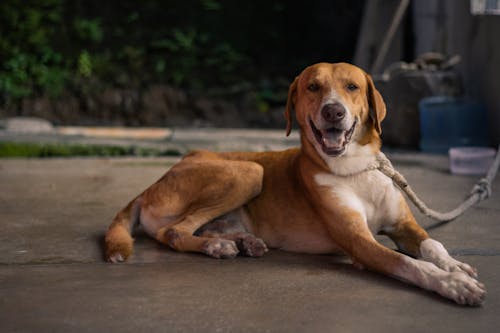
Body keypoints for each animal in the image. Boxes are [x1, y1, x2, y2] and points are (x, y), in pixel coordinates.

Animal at [104, 61, 484, 304]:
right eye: (313, 87)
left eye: (352, 87)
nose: (333, 111)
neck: (356, 169)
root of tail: (149, 187)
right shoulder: (359, 242)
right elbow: (411, 264)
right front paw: (452, 284)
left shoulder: (403, 224)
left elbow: (432, 246)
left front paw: (455, 266)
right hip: (247, 172)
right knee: (174, 232)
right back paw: (219, 247)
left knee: (202, 228)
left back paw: (241, 241)